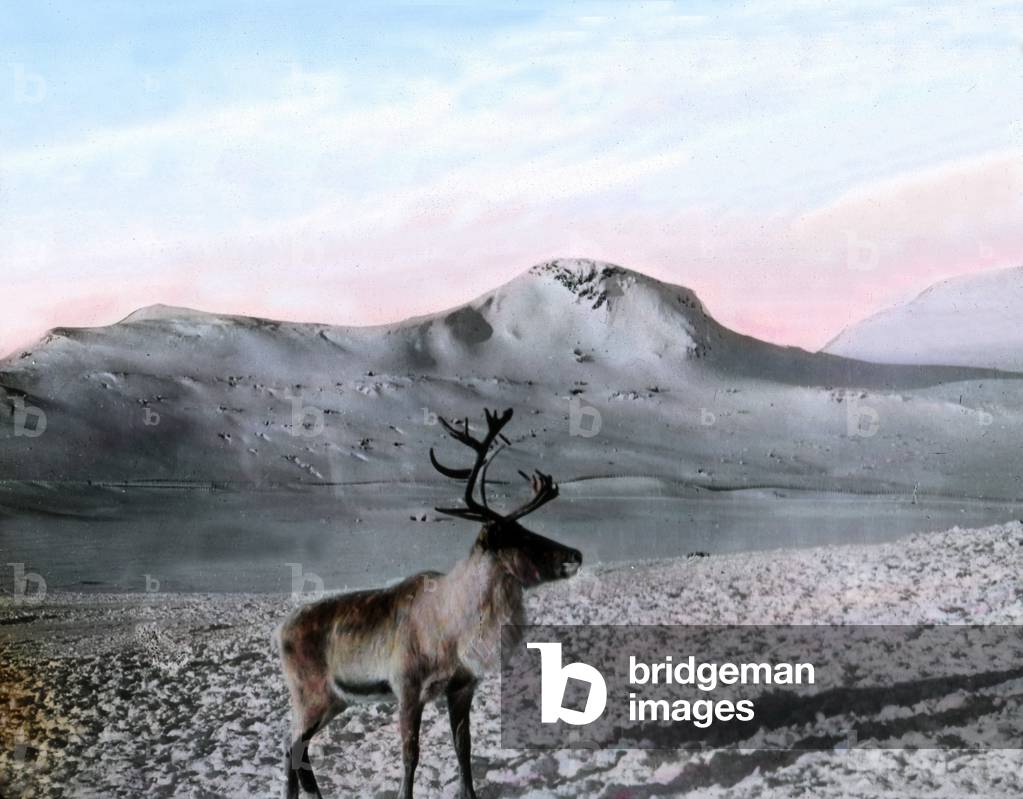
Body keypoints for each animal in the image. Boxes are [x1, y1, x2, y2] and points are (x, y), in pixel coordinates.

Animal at [275, 407, 582, 799]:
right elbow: (411, 754)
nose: (575, 555)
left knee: (296, 749)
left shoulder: (462, 687)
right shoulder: (407, 687)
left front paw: (470, 793)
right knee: (292, 746)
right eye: (520, 538)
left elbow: (463, 747)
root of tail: (280, 630)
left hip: (335, 700)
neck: (457, 626)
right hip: (310, 694)